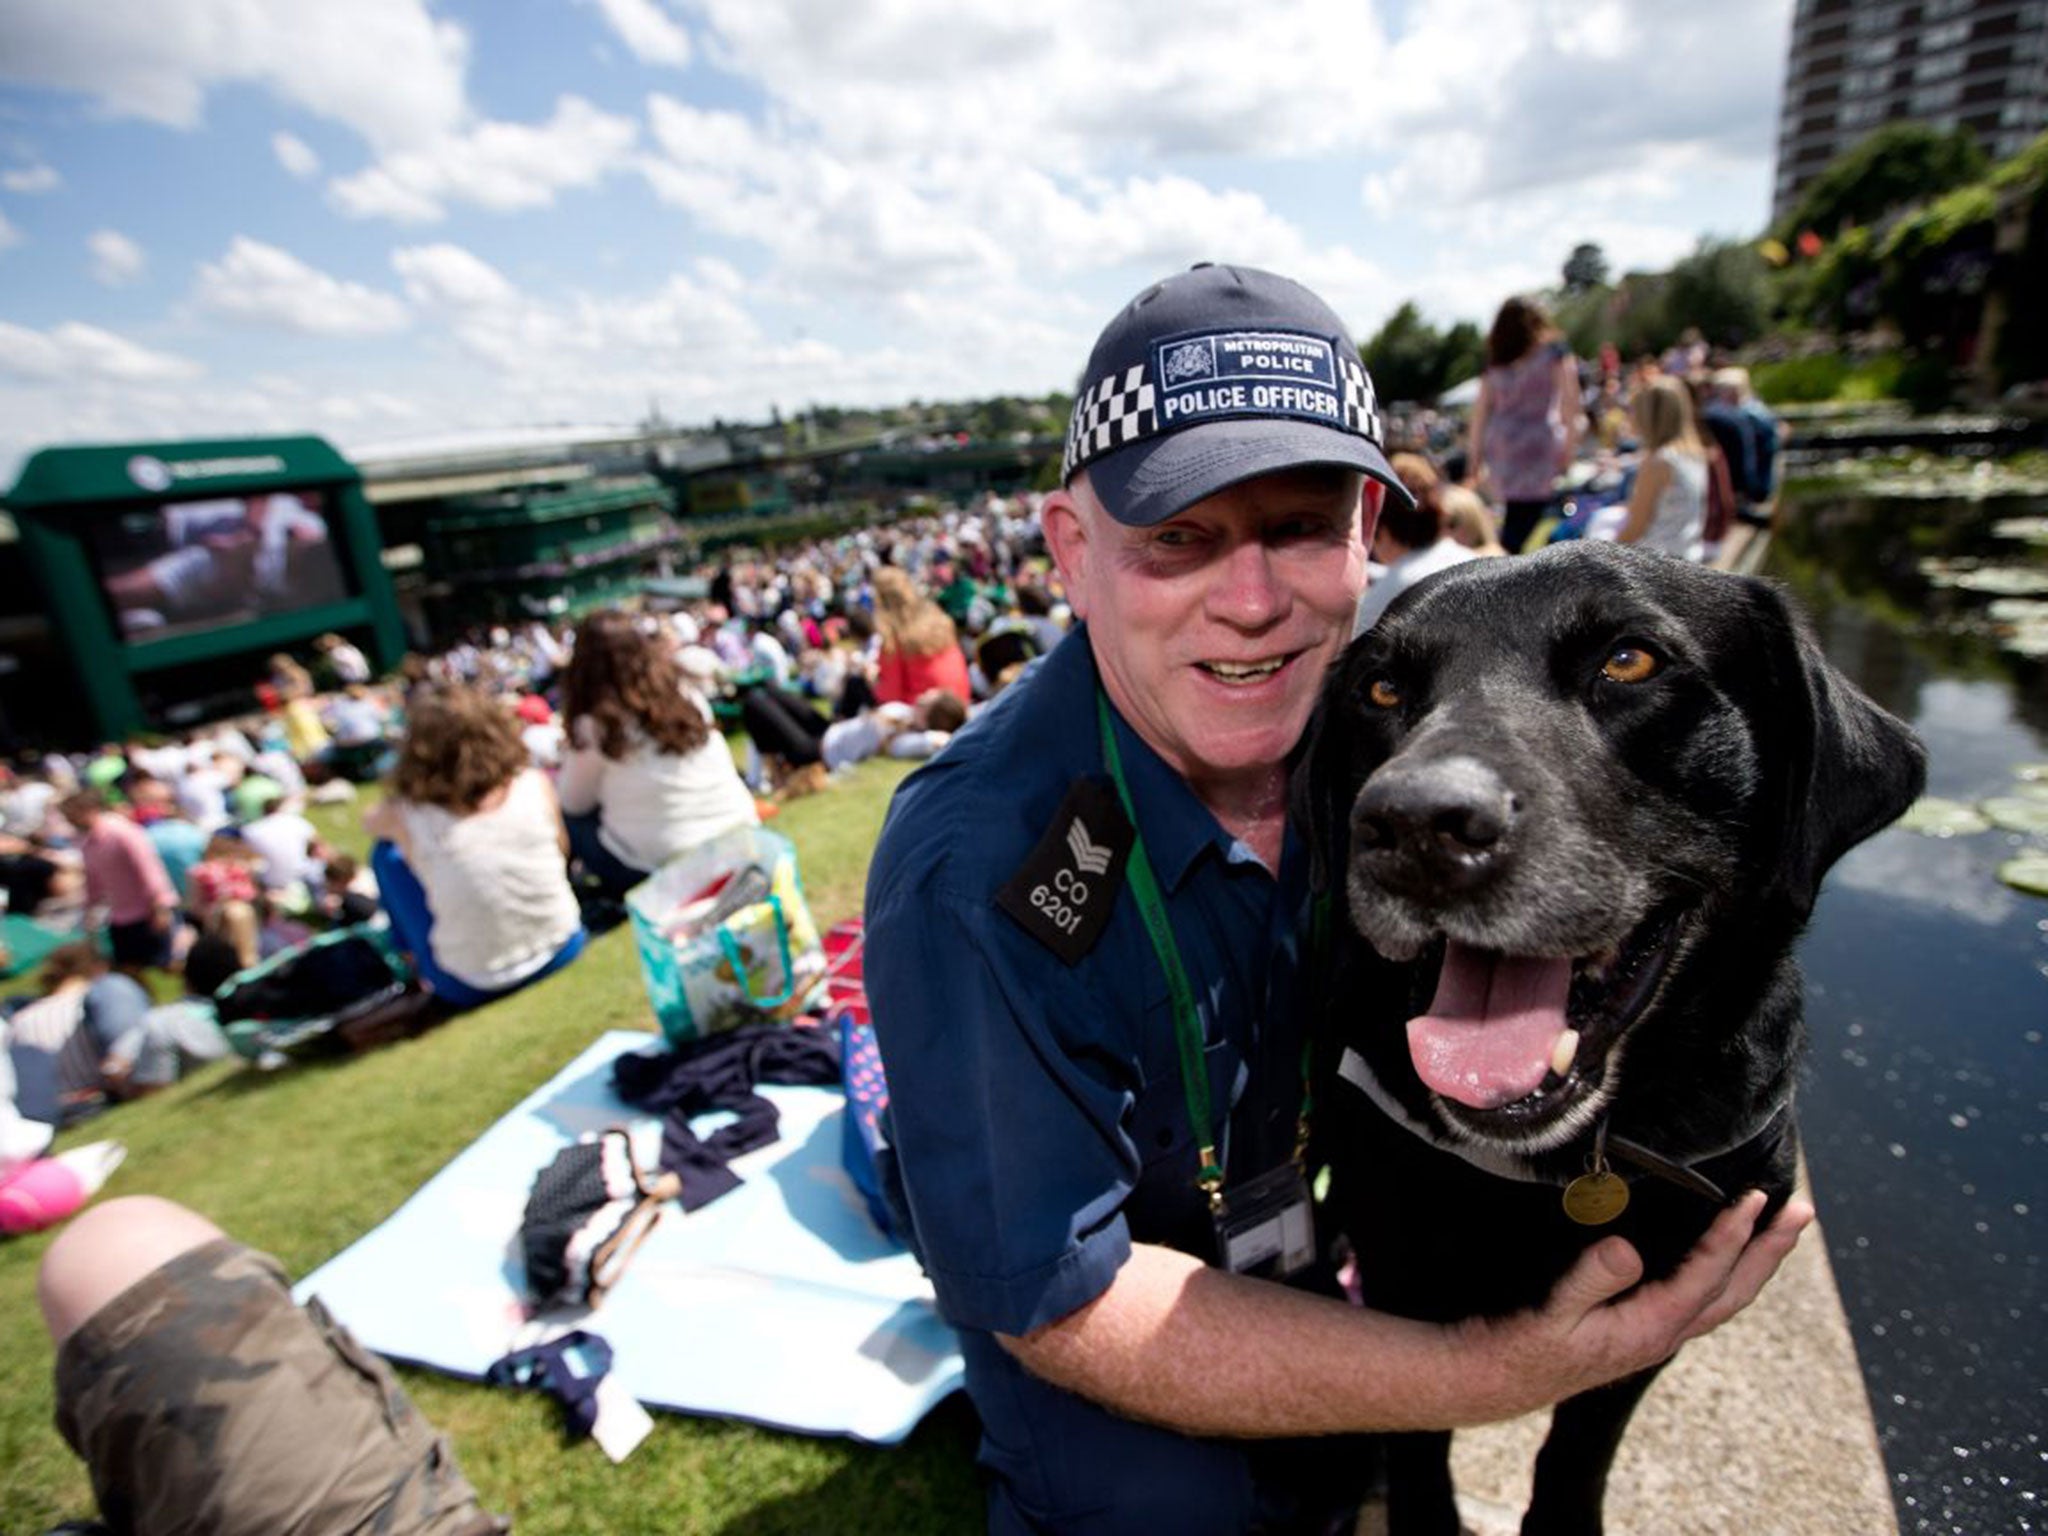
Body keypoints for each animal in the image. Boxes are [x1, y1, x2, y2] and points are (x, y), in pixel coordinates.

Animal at [1286, 544, 1925, 1536]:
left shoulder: (1657, 1306)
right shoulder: (1400, 1279)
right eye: (1381, 688)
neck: (1571, 1164)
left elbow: (1580, 1448)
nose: (1415, 825)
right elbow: (1421, 1435)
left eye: (1629, 662)